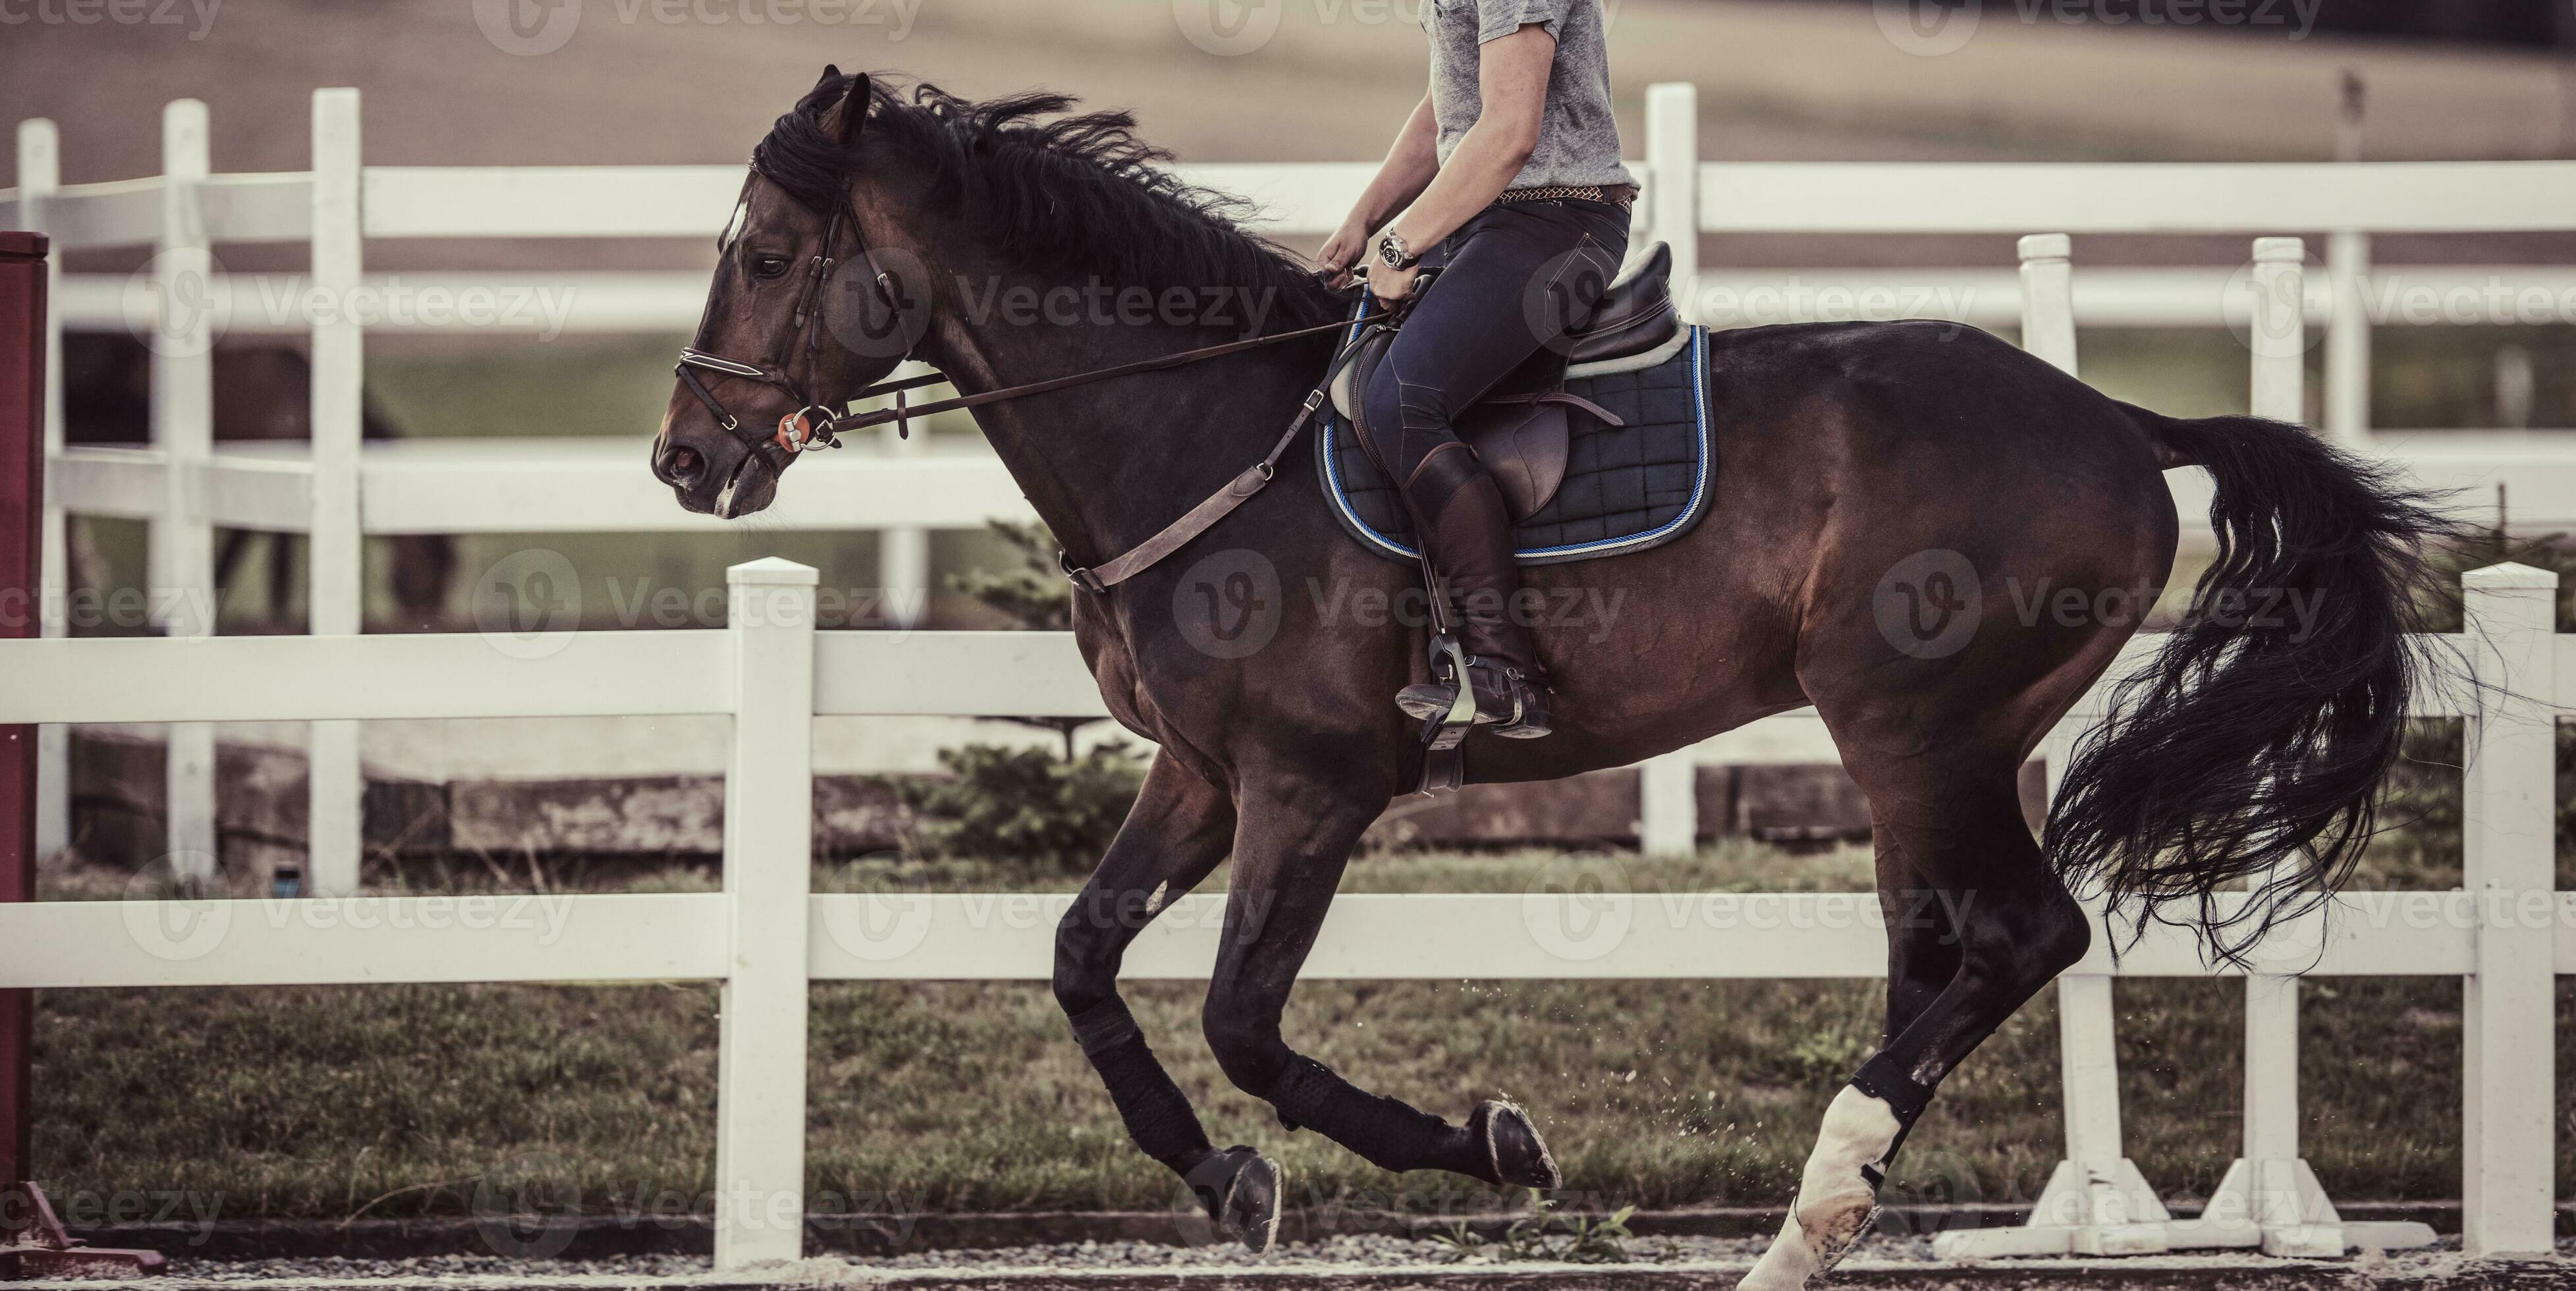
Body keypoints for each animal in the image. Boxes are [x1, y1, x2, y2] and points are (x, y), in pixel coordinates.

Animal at [650, 71, 2451, 1289]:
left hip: (1913, 730)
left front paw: (1478, 1146)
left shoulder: (1311, 784)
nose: (683, 458)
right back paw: (1818, 1218)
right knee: (1938, 951)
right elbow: (1084, 962)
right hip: (1917, 760)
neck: (1197, 421)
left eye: (766, 254)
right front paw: (1221, 1178)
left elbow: (1240, 1018)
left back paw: (1816, 1199)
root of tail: (2116, 423)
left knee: (2020, 937)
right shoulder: (1201, 773)